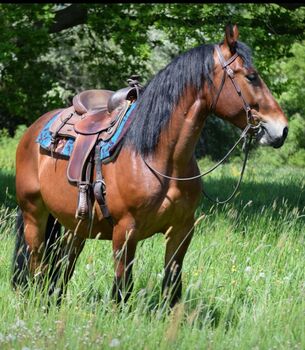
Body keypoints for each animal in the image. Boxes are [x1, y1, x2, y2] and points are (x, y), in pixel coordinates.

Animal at [12, 23, 288, 306]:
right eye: (251, 77)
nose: (282, 129)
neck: (160, 159)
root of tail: (33, 131)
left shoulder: (181, 230)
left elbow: (172, 287)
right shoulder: (125, 232)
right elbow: (122, 289)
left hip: (72, 226)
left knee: (62, 270)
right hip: (34, 216)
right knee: (37, 267)